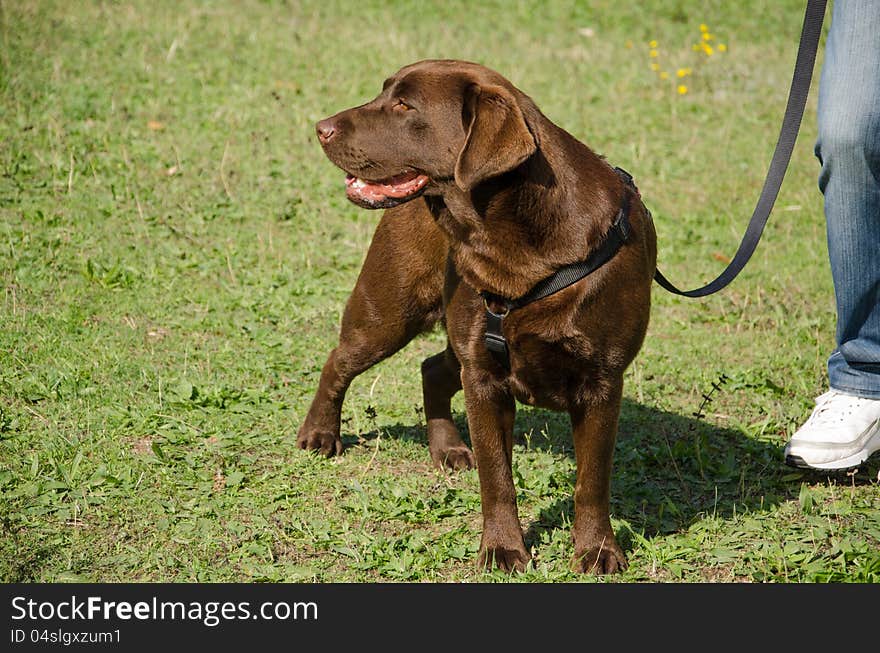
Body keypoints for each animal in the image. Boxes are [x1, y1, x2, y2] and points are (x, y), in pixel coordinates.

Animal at [300, 59, 656, 572]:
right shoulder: (485, 379)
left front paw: (597, 551)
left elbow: (592, 482)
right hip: (389, 314)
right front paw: (503, 548)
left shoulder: (602, 382)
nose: (320, 127)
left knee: (431, 367)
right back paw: (319, 434)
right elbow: (497, 478)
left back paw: (446, 448)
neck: (520, 247)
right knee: (339, 361)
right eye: (385, 93)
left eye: (404, 105)